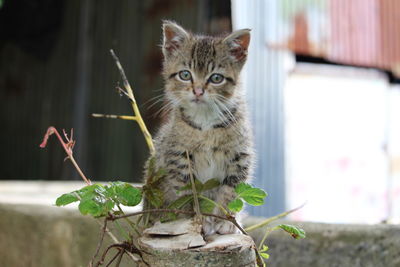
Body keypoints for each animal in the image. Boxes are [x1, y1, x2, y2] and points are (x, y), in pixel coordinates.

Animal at [145, 21, 255, 237]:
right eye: (185, 75)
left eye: (216, 78)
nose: (198, 91)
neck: (206, 124)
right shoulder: (178, 157)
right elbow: (189, 193)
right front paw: (196, 219)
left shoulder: (240, 157)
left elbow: (232, 190)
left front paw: (227, 220)